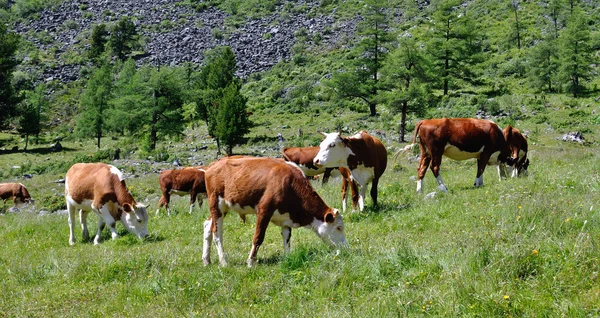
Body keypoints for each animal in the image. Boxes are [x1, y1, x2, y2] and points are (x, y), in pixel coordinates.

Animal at [202, 156, 346, 266]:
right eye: (339, 228)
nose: (346, 248)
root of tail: (214, 164)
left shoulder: (286, 219)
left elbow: (287, 238)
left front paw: (288, 257)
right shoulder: (264, 210)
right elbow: (258, 237)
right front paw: (250, 262)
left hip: (223, 207)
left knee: (208, 225)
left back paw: (206, 260)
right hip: (216, 203)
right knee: (217, 232)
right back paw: (224, 262)